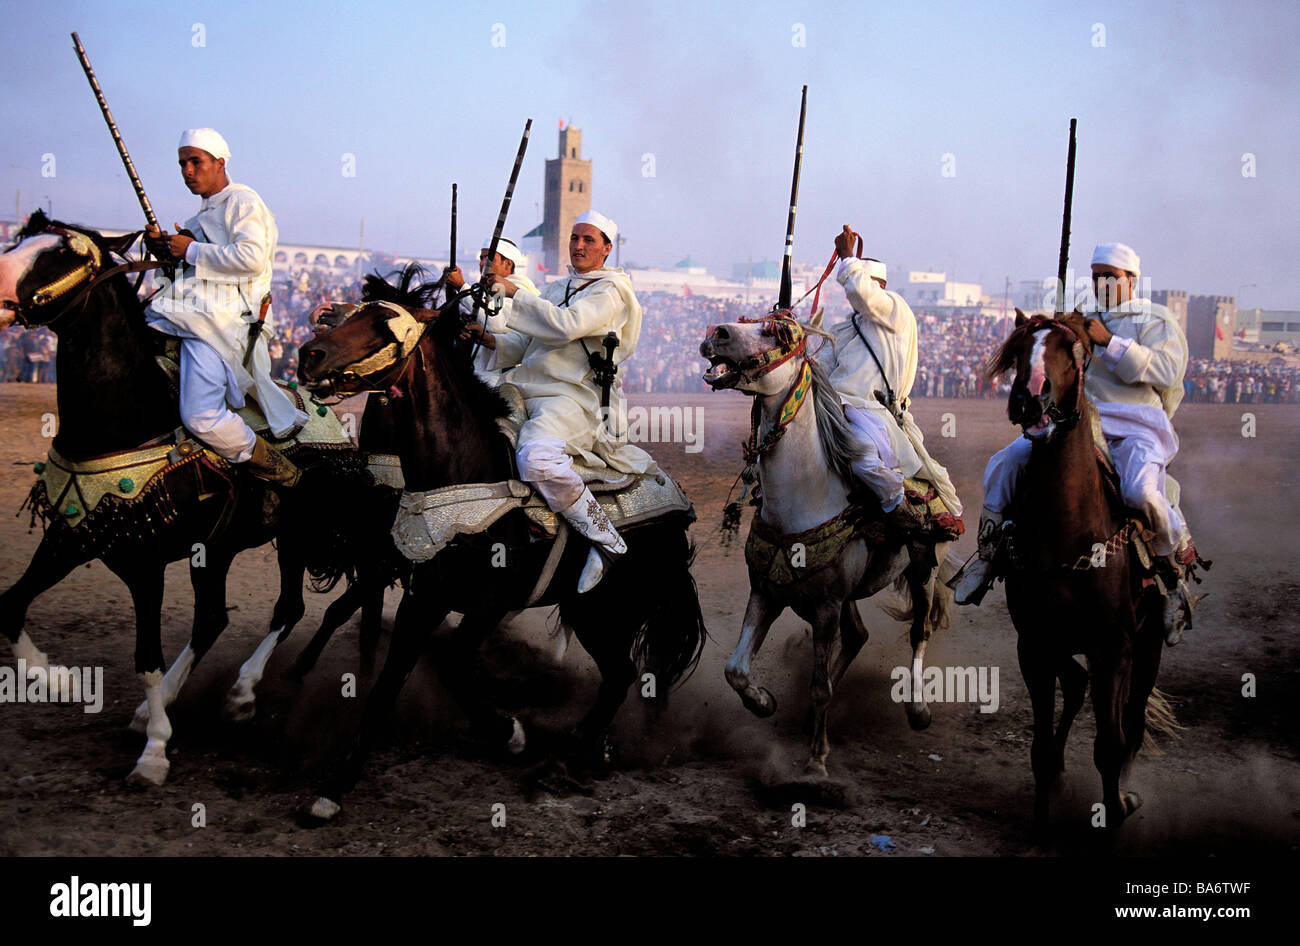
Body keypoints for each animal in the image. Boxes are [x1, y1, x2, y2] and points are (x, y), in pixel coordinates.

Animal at [0, 213, 371, 784]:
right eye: (21, 240)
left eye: (65, 255)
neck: (126, 419)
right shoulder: (72, 537)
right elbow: (11, 604)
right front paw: (58, 679)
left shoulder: (145, 563)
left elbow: (146, 656)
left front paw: (154, 752)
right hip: (215, 550)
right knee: (213, 618)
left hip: (294, 536)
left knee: (286, 608)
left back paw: (240, 695)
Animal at [296, 266, 712, 821]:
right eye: (345, 315)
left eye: (384, 325)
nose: (309, 354)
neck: (463, 473)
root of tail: (676, 513)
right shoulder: (422, 596)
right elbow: (390, 677)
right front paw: (335, 785)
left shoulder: (488, 604)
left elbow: (452, 664)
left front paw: (509, 732)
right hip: (594, 616)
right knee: (618, 674)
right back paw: (591, 749)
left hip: (611, 613)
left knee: (622, 675)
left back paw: (567, 755)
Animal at [702, 314, 956, 774]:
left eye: (776, 332)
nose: (717, 334)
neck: (806, 496)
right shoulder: (767, 591)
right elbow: (736, 670)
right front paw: (764, 703)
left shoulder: (825, 605)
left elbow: (819, 686)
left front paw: (817, 761)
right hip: (842, 597)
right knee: (858, 636)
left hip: (923, 569)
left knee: (920, 630)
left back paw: (917, 709)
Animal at [982, 310, 1180, 836]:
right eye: (1020, 348)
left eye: (1071, 350)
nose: (1030, 398)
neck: (1066, 531)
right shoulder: (1034, 644)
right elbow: (1040, 745)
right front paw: (1042, 819)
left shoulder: (1113, 646)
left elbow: (1110, 744)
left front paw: (1115, 813)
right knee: (1075, 685)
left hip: (1145, 646)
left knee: (1130, 719)